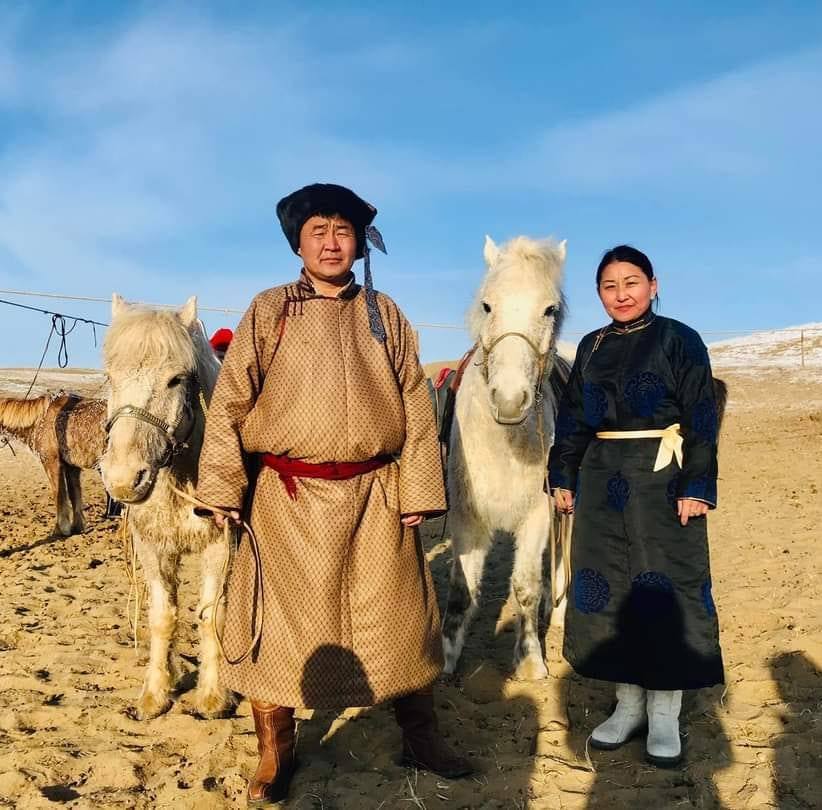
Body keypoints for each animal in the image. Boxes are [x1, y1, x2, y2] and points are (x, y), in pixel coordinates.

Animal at [0, 393, 107, 536]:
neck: (40, 420)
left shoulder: (52, 463)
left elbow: (59, 494)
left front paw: (60, 528)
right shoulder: (71, 467)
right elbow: (74, 495)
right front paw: (77, 526)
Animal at [99, 294, 235, 720]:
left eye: (176, 379)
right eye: (110, 377)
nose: (124, 478)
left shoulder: (220, 547)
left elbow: (211, 617)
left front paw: (212, 696)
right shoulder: (154, 547)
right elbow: (162, 616)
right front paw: (157, 692)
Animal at [442, 235, 571, 680]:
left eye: (550, 309)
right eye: (487, 305)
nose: (511, 400)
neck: (504, 444)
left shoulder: (536, 515)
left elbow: (526, 587)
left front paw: (530, 660)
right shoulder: (467, 519)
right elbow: (461, 589)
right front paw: (447, 659)